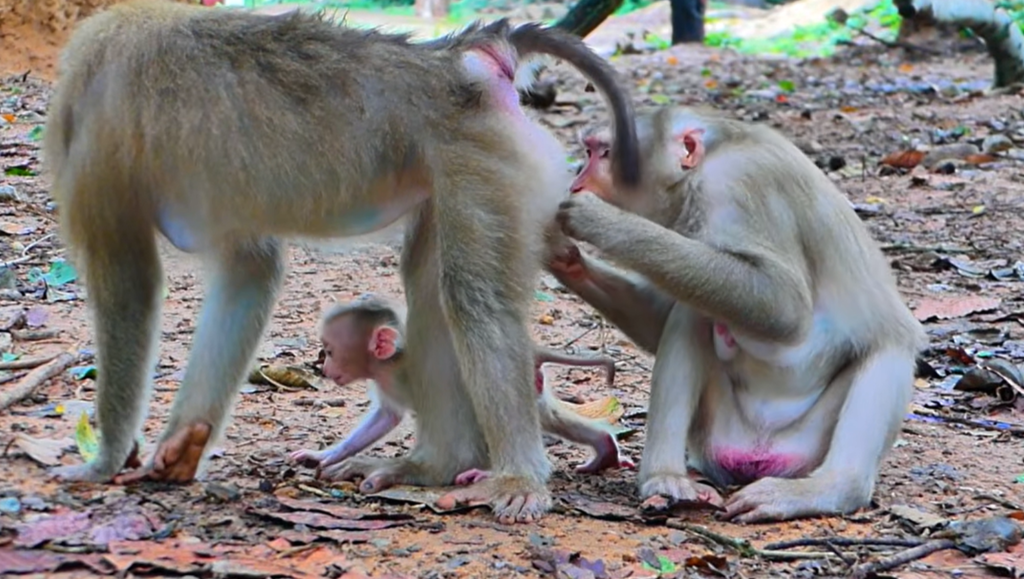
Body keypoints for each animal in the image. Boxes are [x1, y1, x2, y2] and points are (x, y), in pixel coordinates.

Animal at [287, 294, 633, 481]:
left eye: (330, 351)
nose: (325, 369)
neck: (392, 361)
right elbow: (386, 417)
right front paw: (326, 455)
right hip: (532, 383)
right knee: (546, 415)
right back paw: (604, 448)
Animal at [547, 106, 927, 523]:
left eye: (601, 153)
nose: (577, 181)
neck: (705, 164)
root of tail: (758, 453)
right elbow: (661, 319)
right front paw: (564, 258)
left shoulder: (740, 184)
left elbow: (785, 308)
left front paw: (602, 222)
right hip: (717, 434)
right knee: (692, 312)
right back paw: (666, 479)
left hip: (807, 443)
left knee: (887, 353)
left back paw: (829, 489)